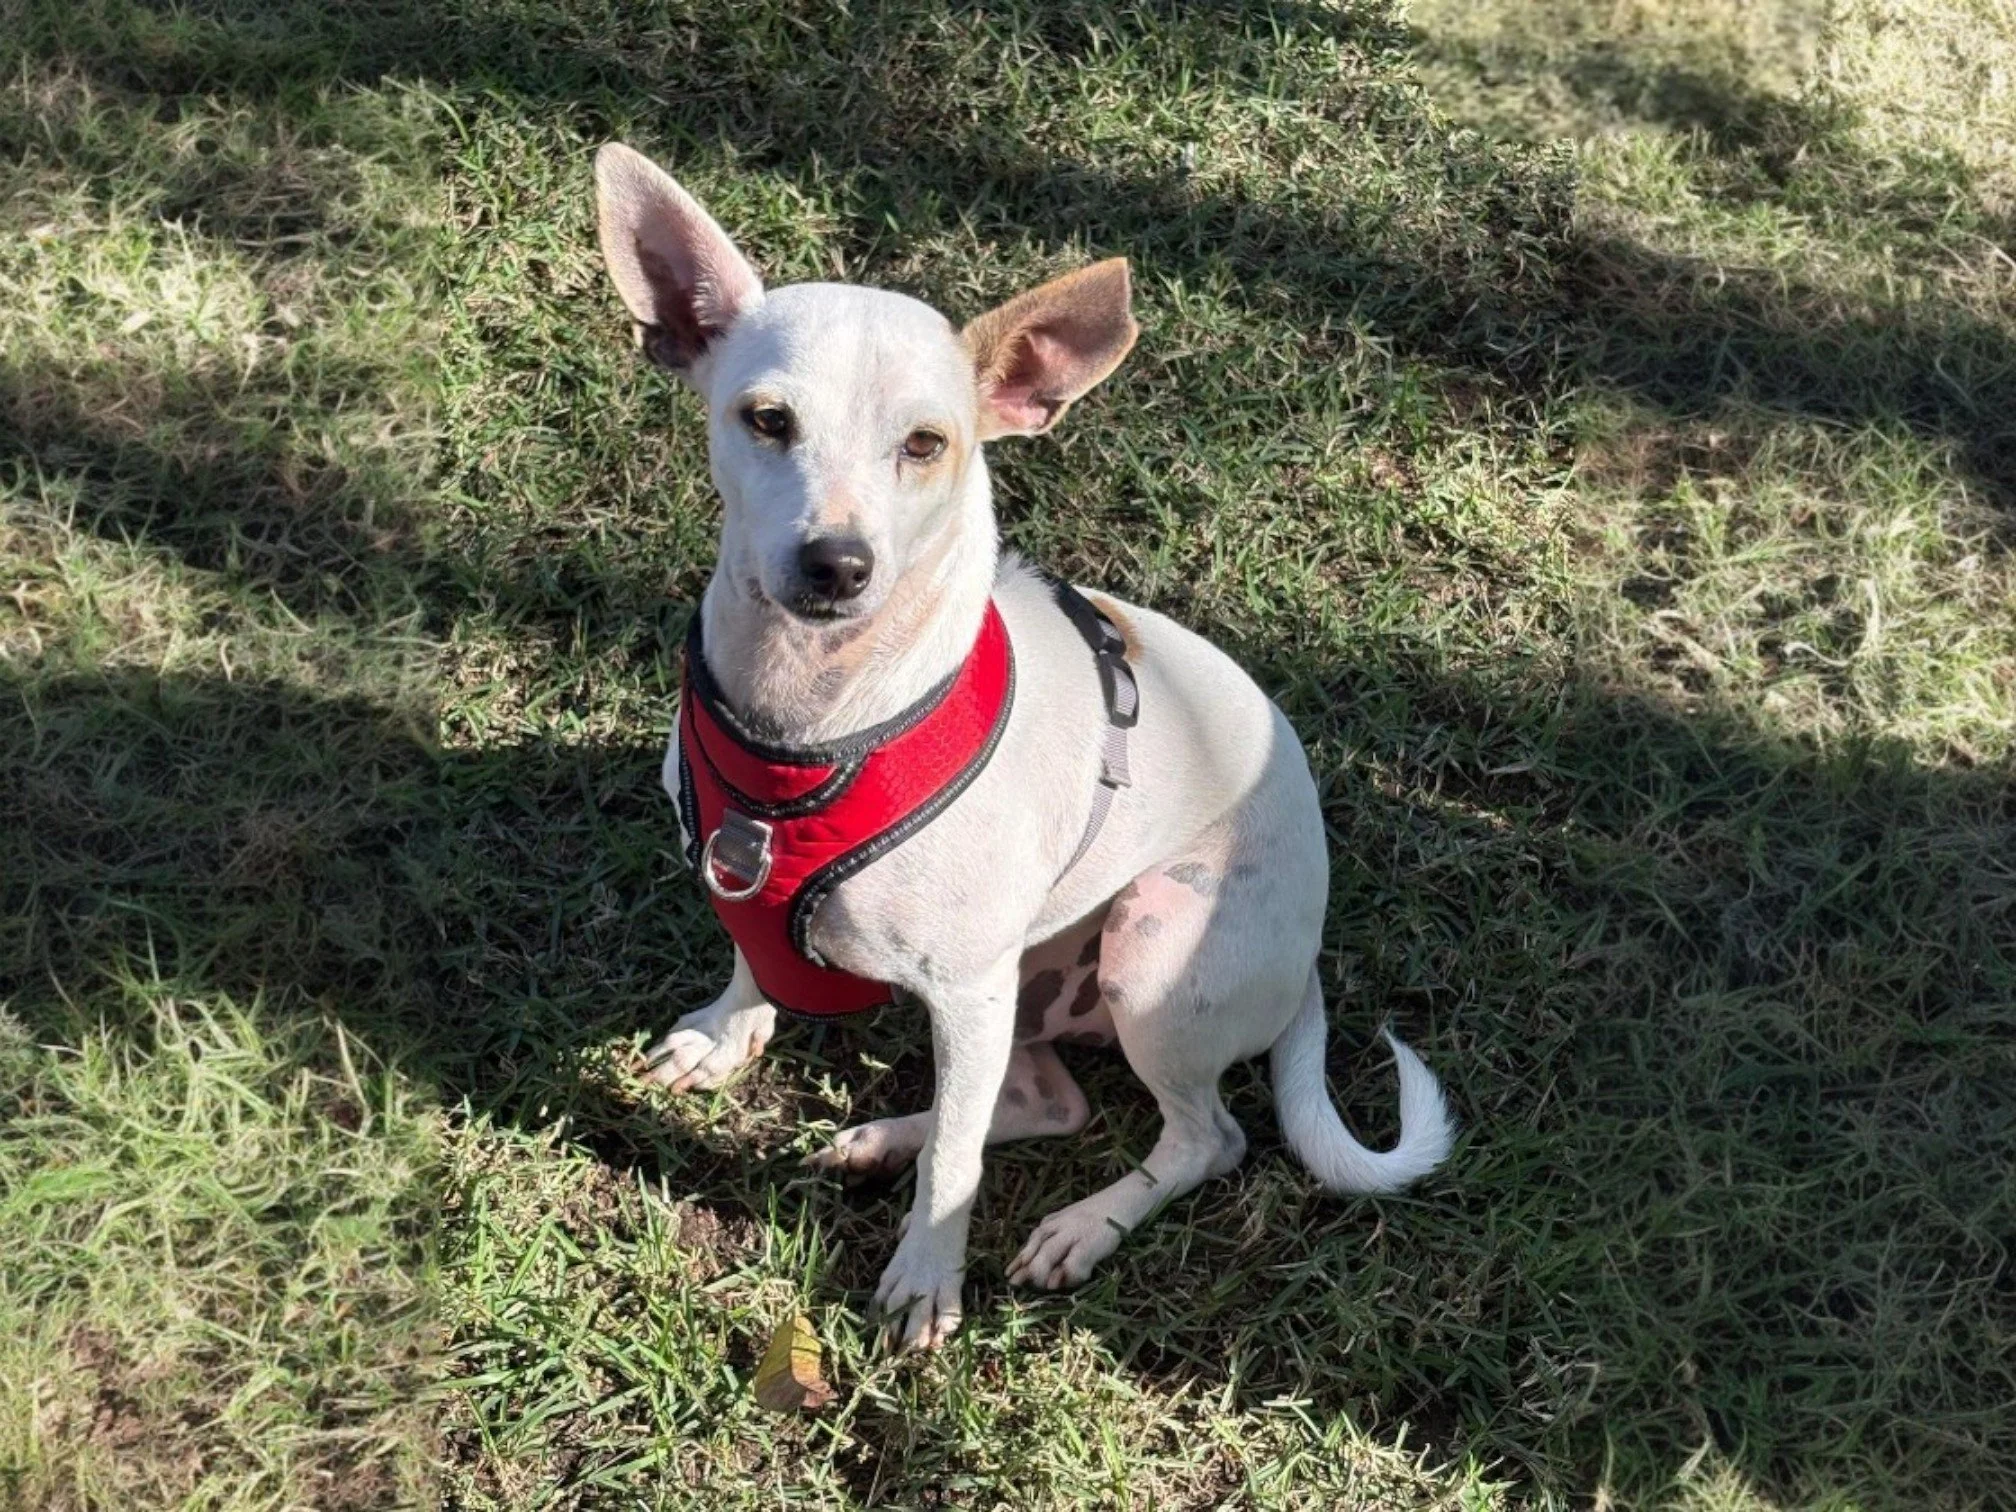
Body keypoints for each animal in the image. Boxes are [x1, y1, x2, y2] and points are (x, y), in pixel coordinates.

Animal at [594, 142, 1452, 1349]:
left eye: (926, 445)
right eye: (766, 421)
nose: (836, 563)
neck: (812, 718)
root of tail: (1307, 966)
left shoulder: (965, 990)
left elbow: (958, 1166)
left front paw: (926, 1280)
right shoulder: (748, 875)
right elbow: (752, 956)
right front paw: (728, 1034)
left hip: (1147, 944)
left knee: (1204, 1137)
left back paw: (1080, 1224)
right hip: (1030, 998)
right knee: (1049, 1100)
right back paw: (885, 1136)